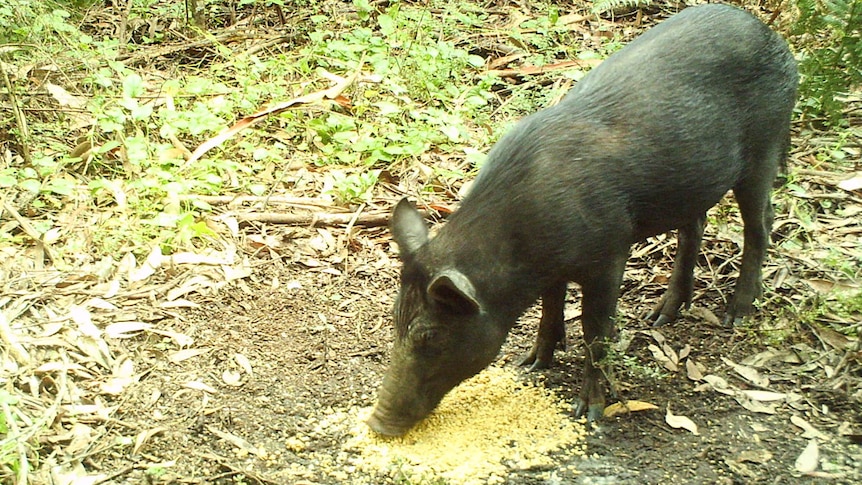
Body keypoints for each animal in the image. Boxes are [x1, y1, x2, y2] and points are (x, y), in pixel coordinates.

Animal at [368, 2, 800, 434]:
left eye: (430, 337)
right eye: (394, 319)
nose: (377, 424)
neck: (523, 250)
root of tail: (771, 36)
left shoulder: (610, 254)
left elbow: (595, 331)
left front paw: (589, 413)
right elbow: (550, 306)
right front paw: (531, 365)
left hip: (765, 147)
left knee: (761, 223)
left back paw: (736, 314)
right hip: (691, 184)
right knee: (694, 227)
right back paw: (659, 317)